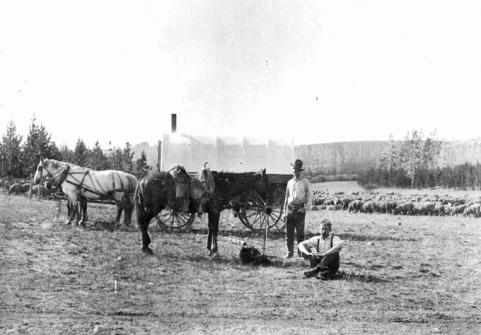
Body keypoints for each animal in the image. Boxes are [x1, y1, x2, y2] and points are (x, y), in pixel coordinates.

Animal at [134, 168, 270, 258]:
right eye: (265, 181)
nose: (267, 201)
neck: (221, 185)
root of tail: (142, 180)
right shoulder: (215, 211)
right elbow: (215, 229)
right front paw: (215, 251)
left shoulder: (211, 212)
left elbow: (210, 229)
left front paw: (209, 249)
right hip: (153, 208)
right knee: (144, 222)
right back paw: (146, 247)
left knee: (144, 223)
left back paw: (146, 246)